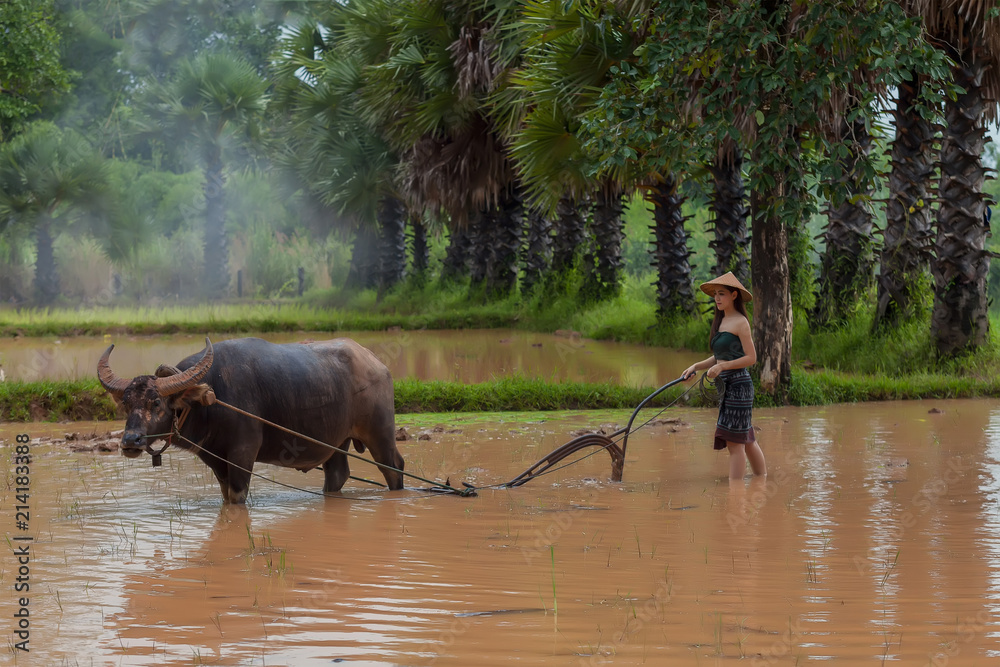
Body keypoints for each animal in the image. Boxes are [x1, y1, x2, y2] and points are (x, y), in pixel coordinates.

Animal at [95, 336, 402, 504]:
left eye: (156, 402)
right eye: (126, 403)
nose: (130, 441)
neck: (211, 400)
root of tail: (377, 363)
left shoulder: (243, 454)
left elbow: (238, 497)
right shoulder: (216, 460)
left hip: (380, 433)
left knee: (393, 467)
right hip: (336, 441)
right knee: (337, 473)